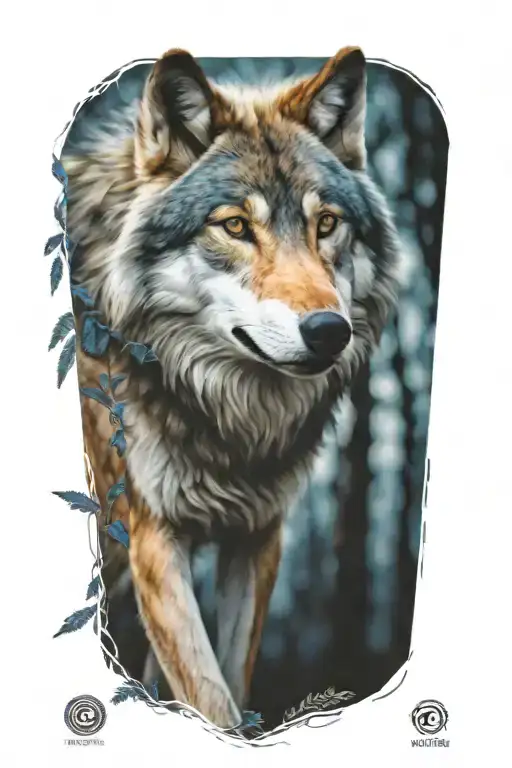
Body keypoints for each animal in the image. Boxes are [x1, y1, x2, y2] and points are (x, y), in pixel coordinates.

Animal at [62, 46, 401, 729]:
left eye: (327, 223)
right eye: (237, 226)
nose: (330, 331)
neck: (229, 420)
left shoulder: (258, 534)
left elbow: (230, 688)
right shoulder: (152, 539)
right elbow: (212, 700)